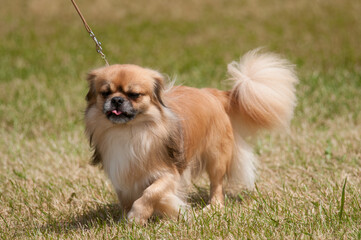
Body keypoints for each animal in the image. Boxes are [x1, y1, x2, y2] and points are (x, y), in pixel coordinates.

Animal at [83, 49, 296, 224]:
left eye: (134, 94)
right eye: (105, 93)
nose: (117, 100)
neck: (129, 131)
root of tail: (214, 94)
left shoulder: (169, 173)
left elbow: (150, 193)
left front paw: (137, 217)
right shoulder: (121, 173)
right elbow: (127, 198)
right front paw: (126, 218)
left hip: (216, 158)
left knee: (217, 186)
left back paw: (213, 207)